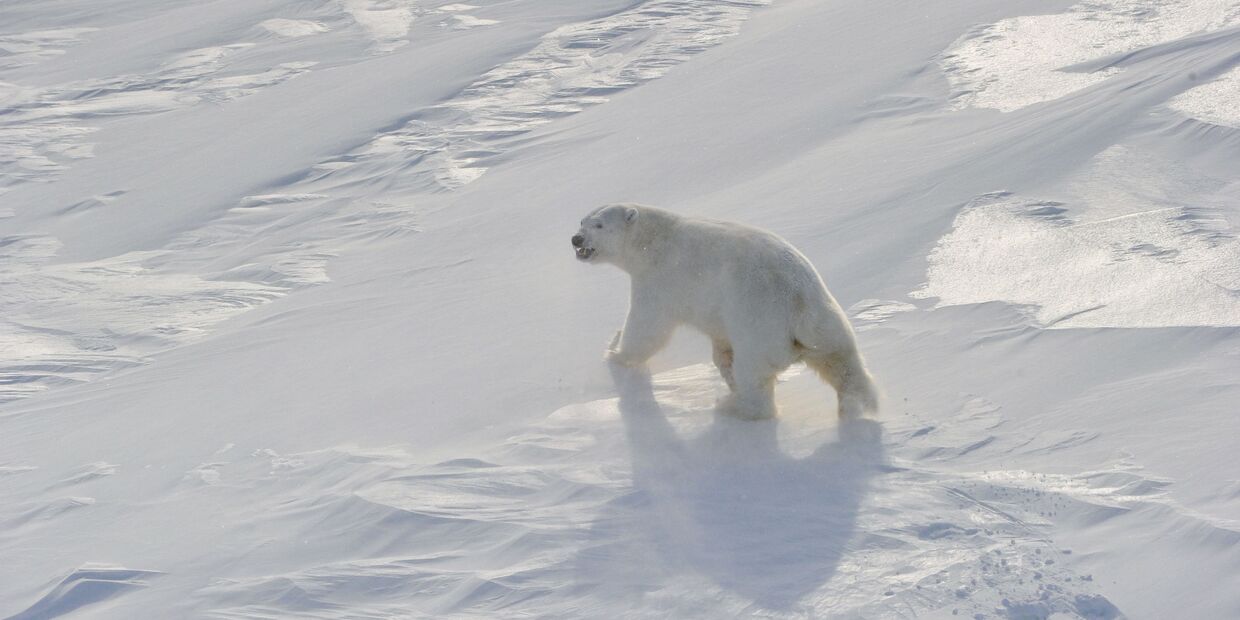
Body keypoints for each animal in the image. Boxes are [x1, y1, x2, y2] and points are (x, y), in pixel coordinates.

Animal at [572, 203, 882, 421]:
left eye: (599, 225)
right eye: (582, 220)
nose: (576, 239)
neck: (653, 238)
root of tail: (797, 302)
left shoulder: (661, 280)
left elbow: (647, 328)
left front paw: (614, 351)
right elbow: (719, 343)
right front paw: (723, 365)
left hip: (758, 325)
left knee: (755, 376)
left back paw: (734, 407)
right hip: (827, 321)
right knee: (844, 365)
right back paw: (856, 406)